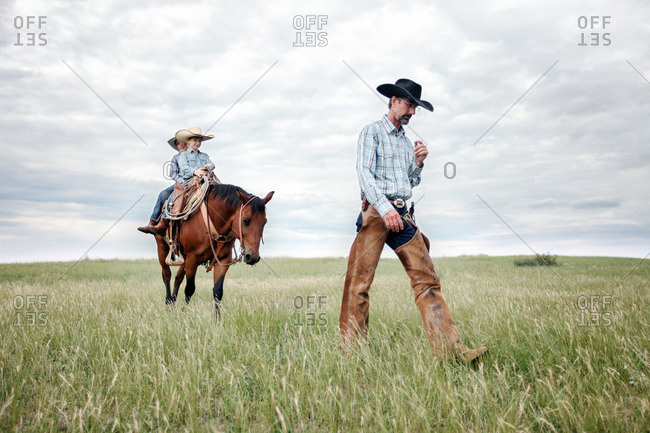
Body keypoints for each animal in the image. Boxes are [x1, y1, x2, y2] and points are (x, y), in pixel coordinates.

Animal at [153, 182, 272, 318]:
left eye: (264, 222)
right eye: (245, 220)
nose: (252, 257)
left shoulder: (223, 260)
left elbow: (218, 291)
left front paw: (217, 318)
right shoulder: (192, 259)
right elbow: (190, 289)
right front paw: (185, 313)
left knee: (178, 278)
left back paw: (172, 303)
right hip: (162, 247)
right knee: (167, 275)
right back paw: (168, 303)